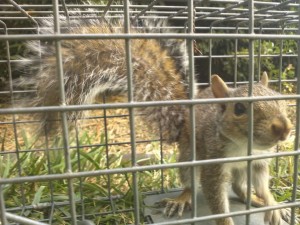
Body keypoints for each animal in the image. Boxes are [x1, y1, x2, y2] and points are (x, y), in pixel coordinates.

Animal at [16, 16, 292, 225]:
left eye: (279, 97)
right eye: (239, 108)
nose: (285, 128)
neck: (243, 147)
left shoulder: (258, 162)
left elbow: (263, 186)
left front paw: (272, 205)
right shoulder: (213, 162)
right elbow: (215, 198)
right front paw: (227, 221)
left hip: (240, 169)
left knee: (241, 188)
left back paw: (256, 200)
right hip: (189, 157)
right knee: (193, 183)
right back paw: (182, 199)